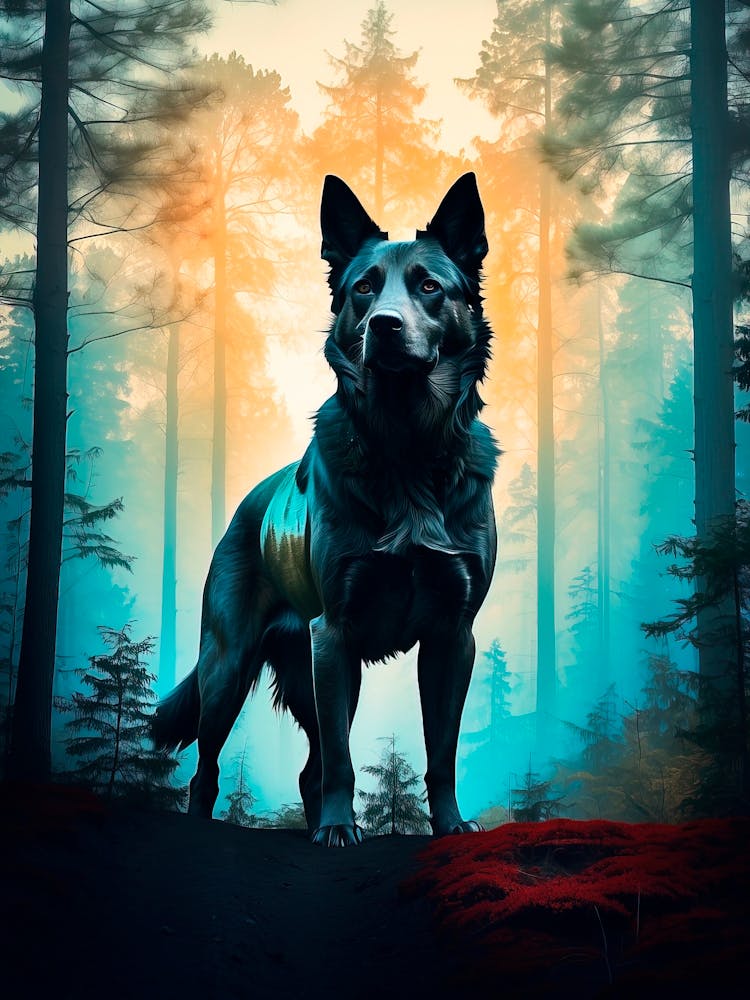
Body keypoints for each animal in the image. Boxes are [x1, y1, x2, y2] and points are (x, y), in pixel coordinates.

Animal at [152, 172, 499, 846]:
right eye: (364, 287)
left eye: (429, 286)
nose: (384, 326)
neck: (405, 447)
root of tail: (244, 509)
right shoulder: (333, 635)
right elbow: (342, 756)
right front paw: (340, 830)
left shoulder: (452, 637)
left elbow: (440, 750)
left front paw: (449, 825)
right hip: (230, 669)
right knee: (210, 766)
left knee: (308, 768)